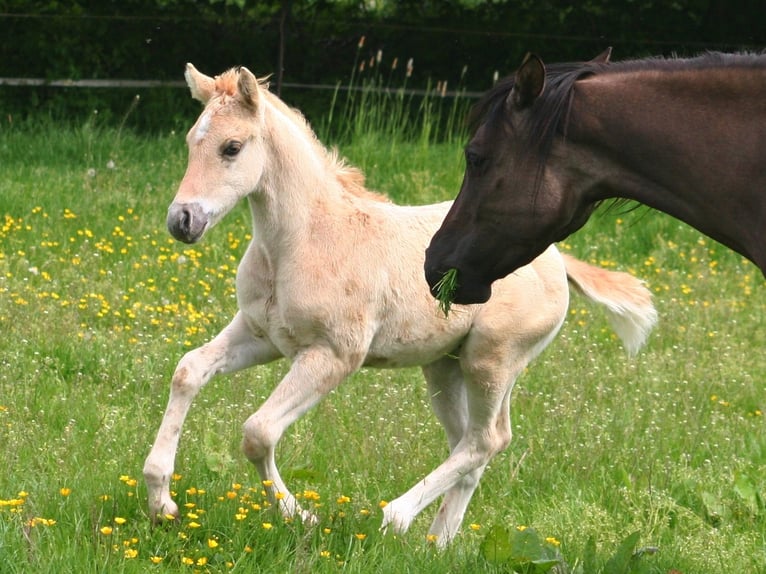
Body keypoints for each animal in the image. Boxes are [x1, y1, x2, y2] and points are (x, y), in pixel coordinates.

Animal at [142, 63, 658, 546]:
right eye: (190, 141)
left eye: (232, 147)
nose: (182, 221)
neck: (303, 240)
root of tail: (555, 258)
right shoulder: (260, 334)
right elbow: (188, 370)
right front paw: (161, 501)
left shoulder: (333, 355)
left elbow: (258, 432)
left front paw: (300, 516)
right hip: (444, 367)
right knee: (468, 445)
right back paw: (439, 543)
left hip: (493, 361)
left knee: (487, 440)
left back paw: (397, 517)